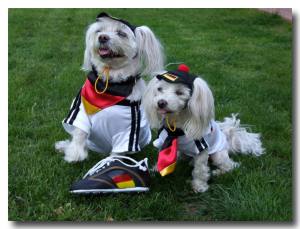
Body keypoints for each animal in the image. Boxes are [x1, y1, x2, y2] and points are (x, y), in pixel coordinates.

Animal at [55, 12, 164, 163]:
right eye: (99, 31)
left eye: (121, 33)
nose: (103, 37)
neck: (110, 84)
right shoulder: (80, 111)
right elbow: (79, 133)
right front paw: (74, 153)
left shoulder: (127, 132)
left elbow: (116, 155)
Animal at [142, 65, 264, 193]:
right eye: (159, 89)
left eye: (180, 92)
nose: (161, 103)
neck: (176, 128)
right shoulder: (163, 141)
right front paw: (155, 170)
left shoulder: (201, 150)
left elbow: (200, 170)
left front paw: (199, 186)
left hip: (218, 155)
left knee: (230, 166)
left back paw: (218, 172)